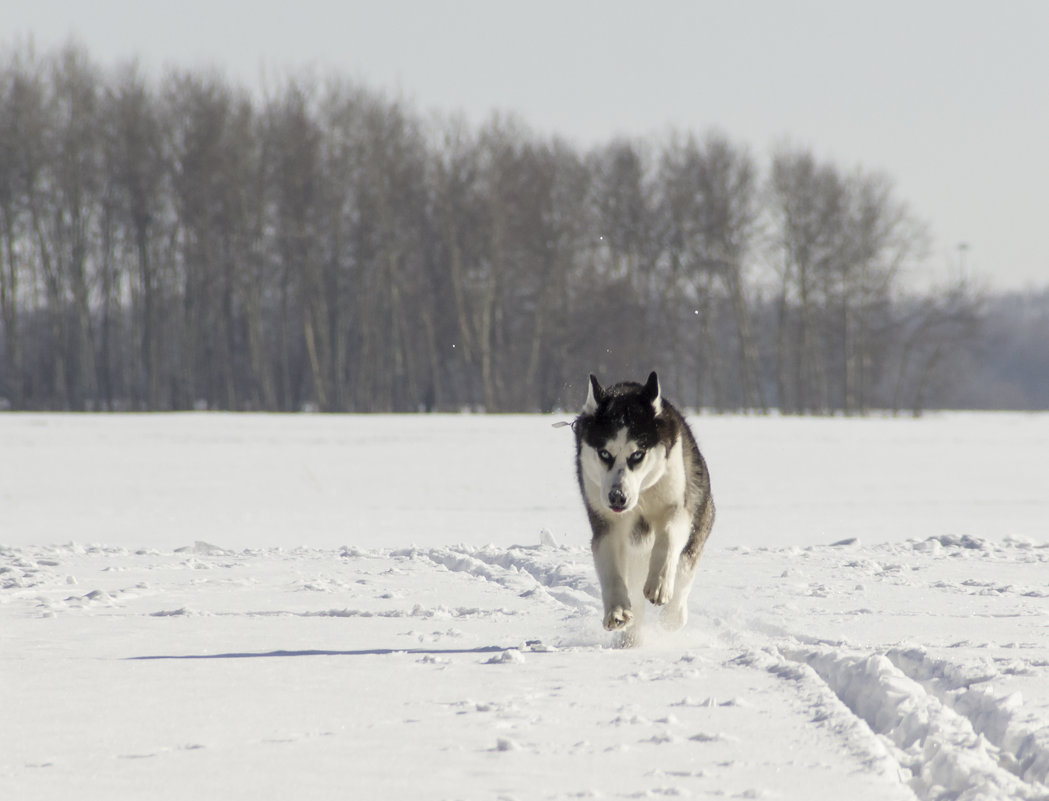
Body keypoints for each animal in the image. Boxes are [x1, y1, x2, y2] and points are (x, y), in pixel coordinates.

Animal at [574, 373, 713, 641]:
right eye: (604, 454)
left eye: (637, 455)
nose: (617, 497)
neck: (641, 495)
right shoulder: (606, 525)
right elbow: (611, 569)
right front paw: (617, 610)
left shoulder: (678, 509)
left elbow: (667, 539)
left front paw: (659, 585)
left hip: (699, 521)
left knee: (683, 570)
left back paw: (673, 615)